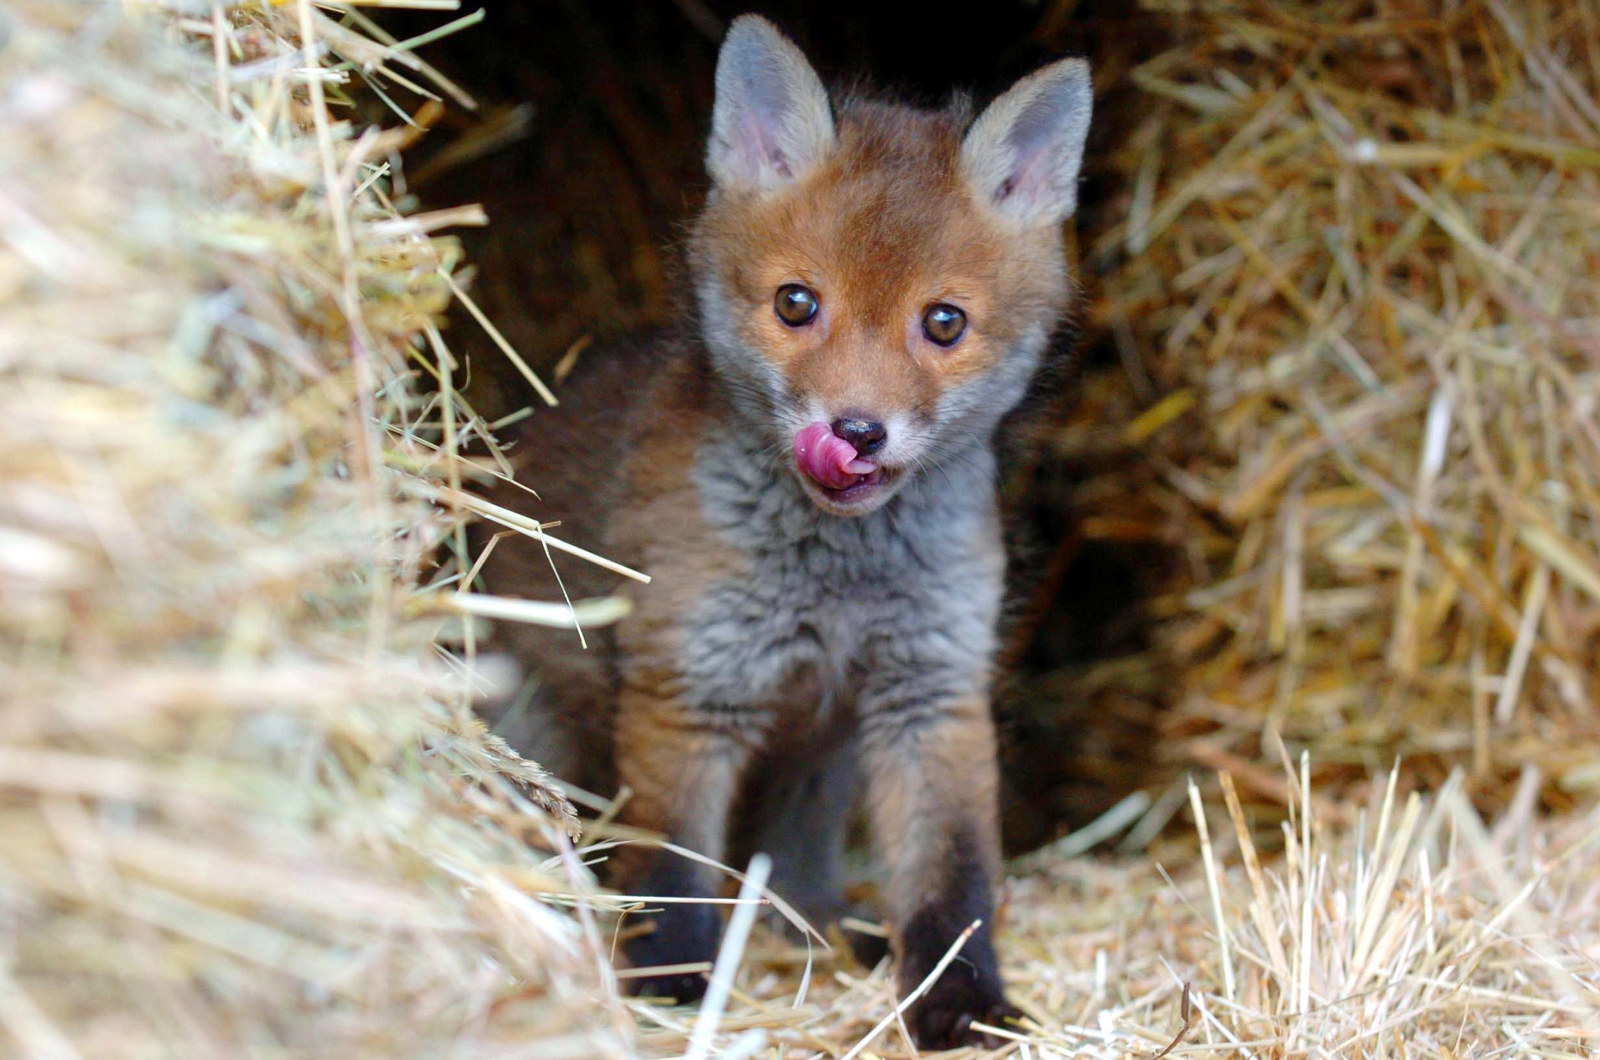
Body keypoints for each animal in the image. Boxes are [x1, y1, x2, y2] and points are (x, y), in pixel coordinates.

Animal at [473, 16, 1094, 1056]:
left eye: (943, 322)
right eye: (796, 304)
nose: (856, 432)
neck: (836, 581)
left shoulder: (930, 692)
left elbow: (952, 881)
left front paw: (963, 1004)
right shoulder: (689, 689)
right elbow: (672, 878)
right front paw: (676, 996)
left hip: (823, 763)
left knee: (799, 870)